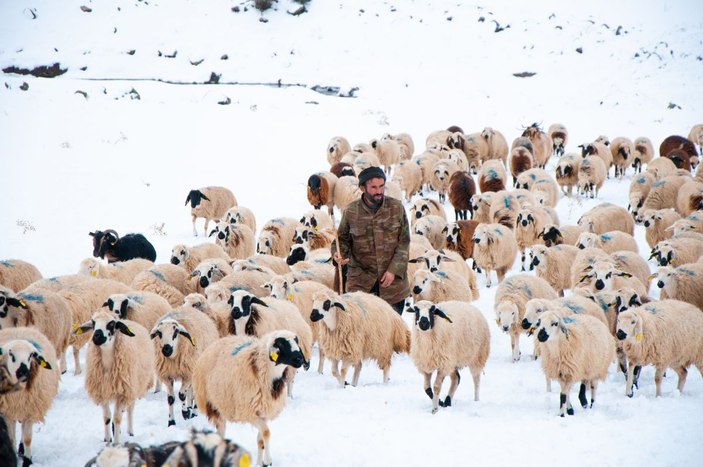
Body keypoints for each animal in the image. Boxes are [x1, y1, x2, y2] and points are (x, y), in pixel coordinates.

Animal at [0, 328, 59, 466]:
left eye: (31, 355)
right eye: (11, 354)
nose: (23, 372)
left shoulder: (30, 410)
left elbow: (27, 439)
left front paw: (27, 460)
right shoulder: (7, 413)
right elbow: (11, 438)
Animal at [74, 308, 155, 444]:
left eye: (111, 324)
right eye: (93, 322)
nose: (96, 336)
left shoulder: (123, 392)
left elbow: (117, 418)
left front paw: (116, 443)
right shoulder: (102, 390)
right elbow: (107, 417)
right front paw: (107, 440)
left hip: (134, 385)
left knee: (130, 408)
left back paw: (130, 431)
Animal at [192, 330, 306, 467]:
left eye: (296, 341)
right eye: (280, 344)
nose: (299, 359)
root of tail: (218, 341)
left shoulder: (263, 412)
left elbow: (260, 439)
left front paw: (259, 463)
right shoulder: (248, 413)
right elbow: (266, 432)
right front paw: (267, 461)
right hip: (213, 406)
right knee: (220, 433)